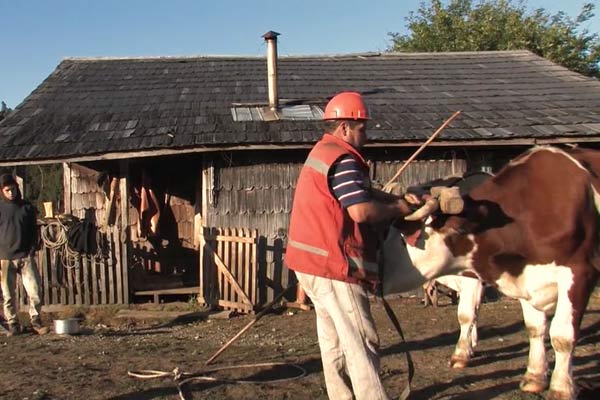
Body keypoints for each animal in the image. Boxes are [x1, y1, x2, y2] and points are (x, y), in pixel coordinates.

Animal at [384, 147, 600, 400]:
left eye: (403, 238)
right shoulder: (520, 276)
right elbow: (533, 328)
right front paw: (534, 377)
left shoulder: (578, 273)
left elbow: (562, 335)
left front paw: (560, 388)